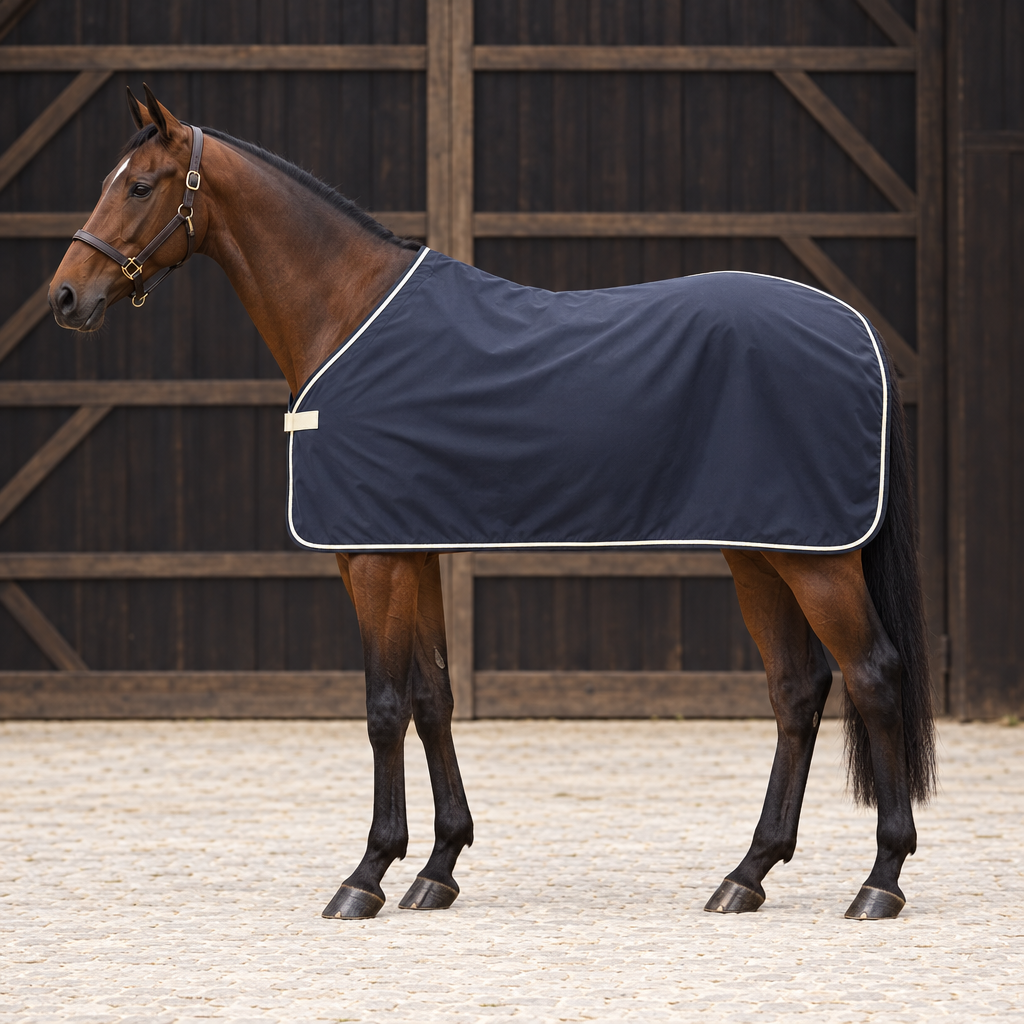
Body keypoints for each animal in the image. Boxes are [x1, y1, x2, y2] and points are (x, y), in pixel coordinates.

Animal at [49, 86, 934, 922]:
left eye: (139, 186)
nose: (64, 298)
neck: (347, 316)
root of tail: (859, 331)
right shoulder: (412, 549)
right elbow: (433, 697)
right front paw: (437, 867)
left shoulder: (370, 559)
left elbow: (383, 706)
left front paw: (366, 874)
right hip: (762, 550)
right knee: (797, 690)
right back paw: (746, 874)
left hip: (814, 561)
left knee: (873, 675)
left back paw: (881, 879)